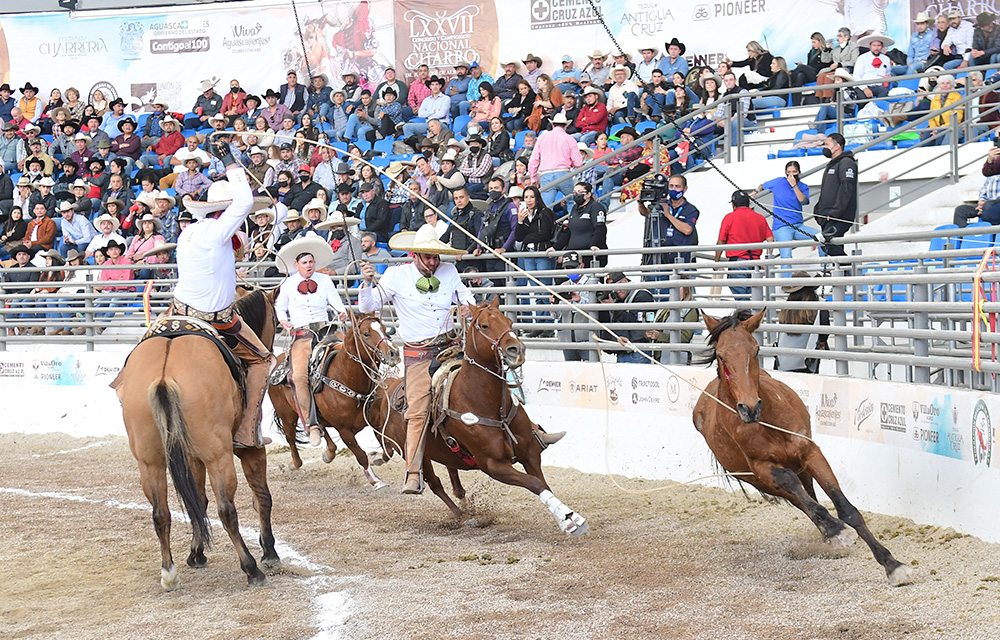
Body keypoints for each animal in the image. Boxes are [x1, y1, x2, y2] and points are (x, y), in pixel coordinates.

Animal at [111, 290, 280, 592]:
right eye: (274, 319)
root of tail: (164, 374)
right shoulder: (252, 448)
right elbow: (262, 496)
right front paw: (270, 553)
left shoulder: (190, 455)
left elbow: (197, 500)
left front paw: (196, 553)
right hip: (218, 455)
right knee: (227, 510)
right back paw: (251, 569)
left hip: (150, 460)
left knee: (161, 513)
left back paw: (169, 572)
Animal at [274, 312, 402, 482]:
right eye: (366, 334)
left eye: (383, 328)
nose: (394, 353)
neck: (347, 378)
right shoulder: (344, 431)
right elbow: (361, 455)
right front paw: (375, 481)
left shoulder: (375, 421)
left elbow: (388, 448)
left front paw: (377, 458)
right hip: (286, 415)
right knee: (290, 437)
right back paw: (295, 463)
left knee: (322, 429)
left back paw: (328, 453)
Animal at [368, 298, 584, 536]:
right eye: (484, 326)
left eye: (509, 321)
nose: (516, 350)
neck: (485, 403)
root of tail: (385, 392)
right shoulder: (494, 465)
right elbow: (534, 484)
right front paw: (570, 520)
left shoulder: (530, 453)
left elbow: (542, 483)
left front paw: (567, 516)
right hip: (416, 454)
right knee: (434, 483)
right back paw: (461, 515)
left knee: (452, 474)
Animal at [696, 310, 916, 584]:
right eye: (721, 355)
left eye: (756, 349)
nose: (750, 407)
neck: (767, 422)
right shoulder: (763, 468)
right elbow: (794, 487)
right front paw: (837, 531)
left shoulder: (811, 453)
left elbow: (846, 509)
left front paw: (891, 564)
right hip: (759, 481)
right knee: (800, 499)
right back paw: (830, 532)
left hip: (799, 470)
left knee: (808, 495)